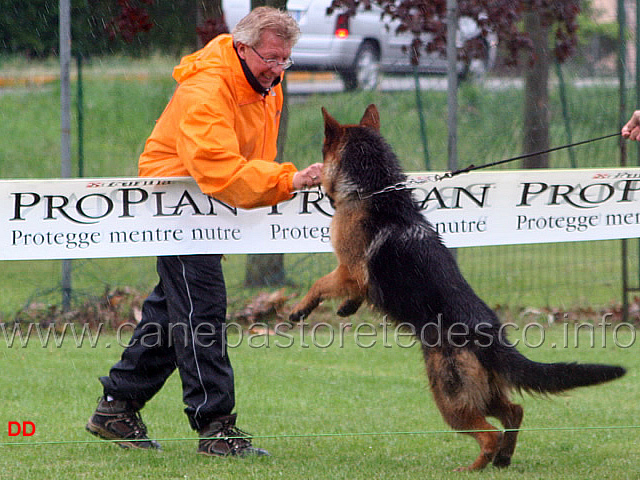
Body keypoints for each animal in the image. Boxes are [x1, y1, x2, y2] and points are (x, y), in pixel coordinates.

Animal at [288, 104, 624, 468]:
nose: (310, 174)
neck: (374, 189)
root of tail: (492, 337)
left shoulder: (349, 269)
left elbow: (320, 283)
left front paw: (299, 310)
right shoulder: (358, 279)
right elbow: (352, 294)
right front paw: (347, 307)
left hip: (450, 399)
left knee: (489, 434)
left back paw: (475, 466)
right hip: (485, 393)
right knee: (515, 412)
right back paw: (503, 459)